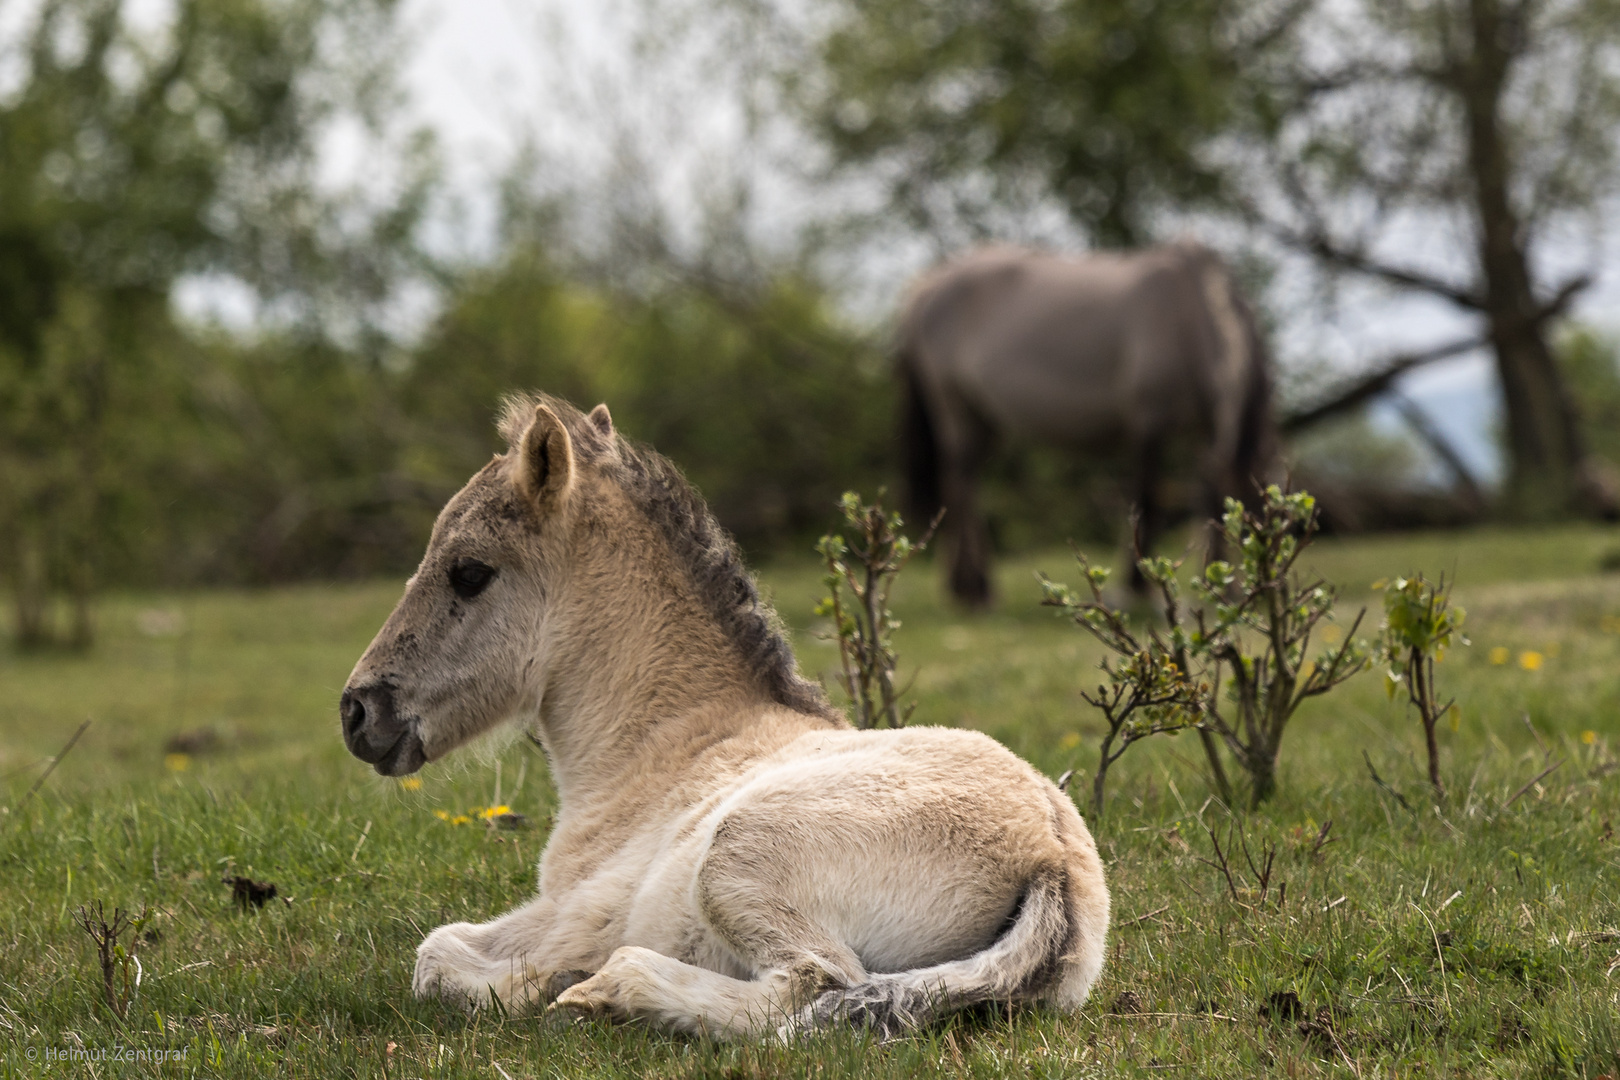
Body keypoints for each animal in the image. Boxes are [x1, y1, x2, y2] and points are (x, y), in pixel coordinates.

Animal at [335, 393, 1108, 1036]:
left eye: (470, 573)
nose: (357, 710)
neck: (660, 748)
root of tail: (1051, 857)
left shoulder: (574, 910)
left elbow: (436, 957)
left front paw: (535, 984)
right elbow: (442, 942)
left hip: (737, 853)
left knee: (813, 981)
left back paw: (597, 991)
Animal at [894, 241, 1270, 605]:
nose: (1253, 586)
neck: (1188, 314)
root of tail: (925, 288)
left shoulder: (1207, 429)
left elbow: (1207, 494)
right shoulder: (1149, 421)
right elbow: (1147, 496)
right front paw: (1139, 584)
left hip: (983, 419)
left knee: (962, 484)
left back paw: (964, 586)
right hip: (954, 407)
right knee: (962, 486)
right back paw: (975, 588)